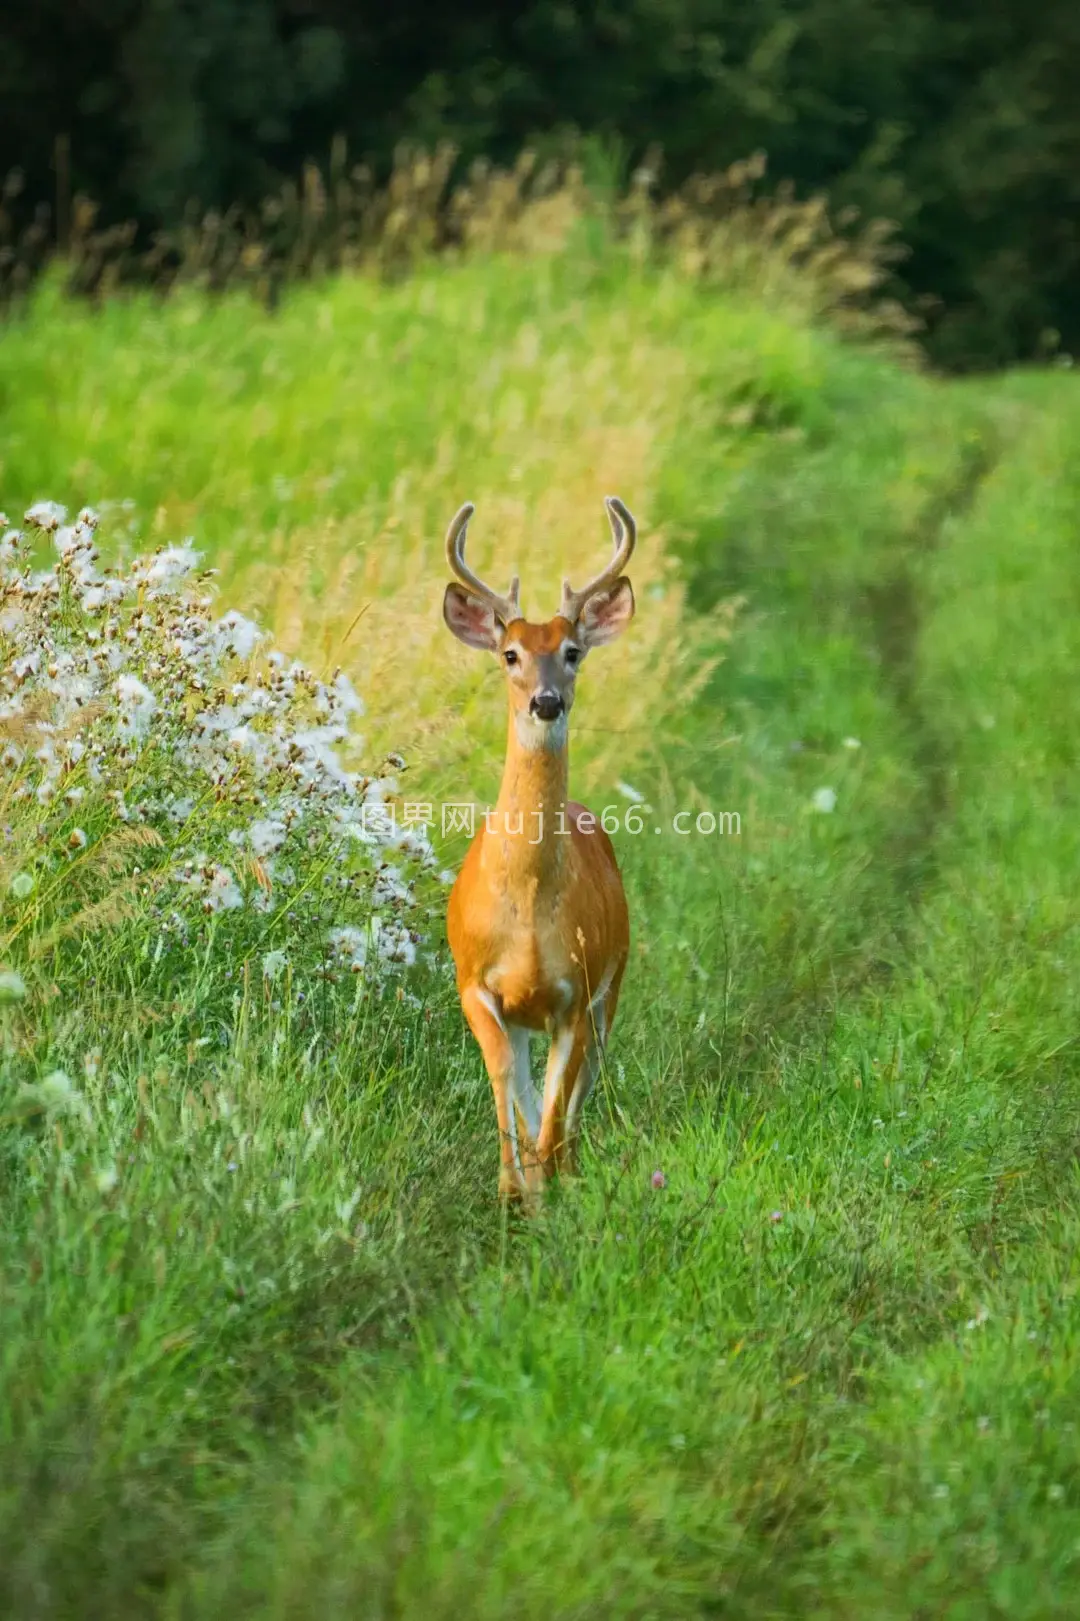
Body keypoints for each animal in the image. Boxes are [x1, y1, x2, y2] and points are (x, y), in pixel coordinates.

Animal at [441, 492, 635, 1206]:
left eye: (573, 651)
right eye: (510, 654)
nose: (546, 702)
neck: (526, 905)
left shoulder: (574, 992)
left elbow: (553, 1108)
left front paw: (549, 1193)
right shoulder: (475, 984)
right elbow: (510, 1091)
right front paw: (512, 1191)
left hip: (614, 983)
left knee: (580, 1092)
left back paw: (568, 1173)